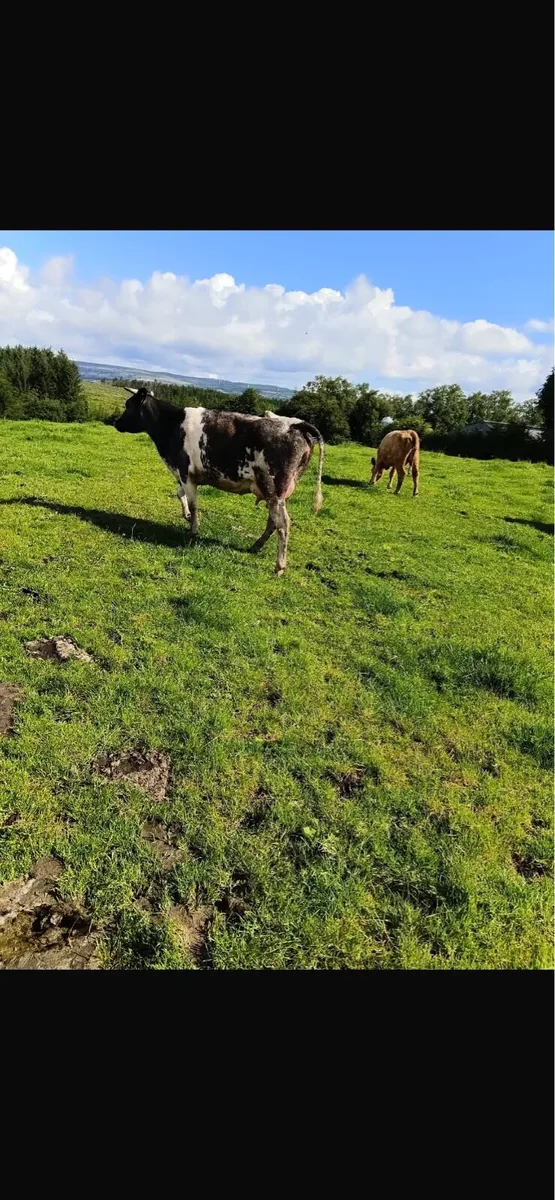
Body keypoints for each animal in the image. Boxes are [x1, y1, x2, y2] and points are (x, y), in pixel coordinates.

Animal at [114, 388, 324, 575]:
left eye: (128, 405)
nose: (116, 422)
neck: (171, 424)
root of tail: (295, 424)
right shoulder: (184, 474)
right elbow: (180, 494)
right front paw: (187, 515)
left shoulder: (185, 472)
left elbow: (193, 503)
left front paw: (193, 529)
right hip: (279, 492)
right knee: (273, 521)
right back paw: (256, 546)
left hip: (274, 488)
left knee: (283, 524)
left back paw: (279, 566)